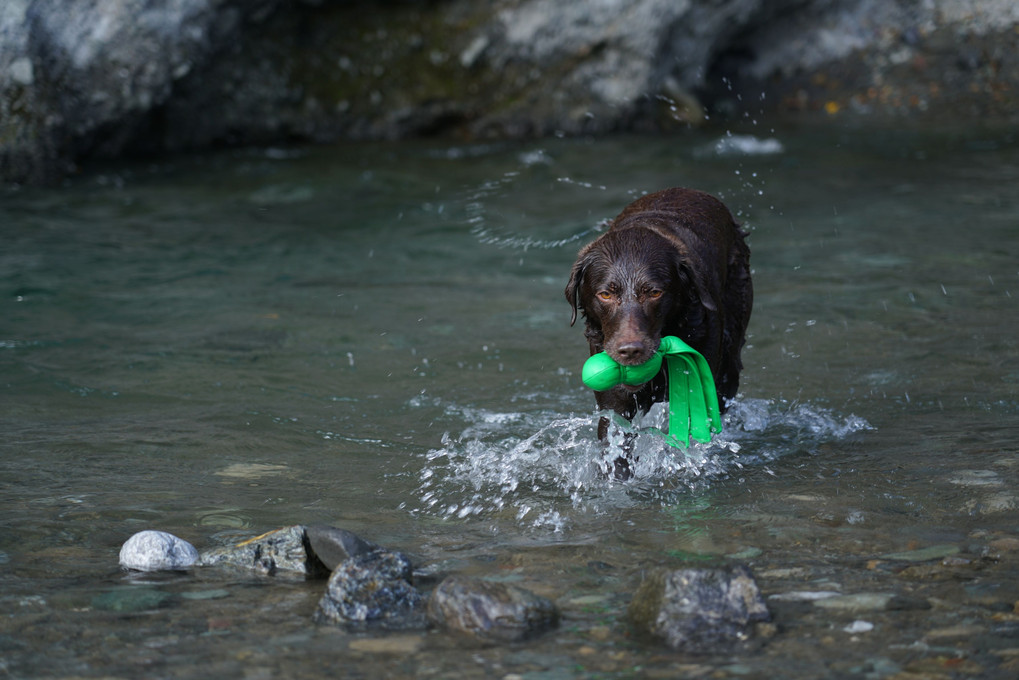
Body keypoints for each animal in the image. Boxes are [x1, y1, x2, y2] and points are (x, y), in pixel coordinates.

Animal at [562, 186, 754, 473]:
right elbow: (616, 447)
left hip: (729, 361)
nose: (630, 350)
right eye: (606, 294)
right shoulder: (615, 404)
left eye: (654, 292)